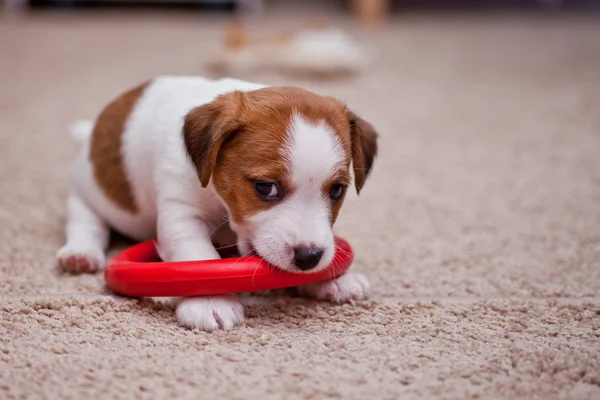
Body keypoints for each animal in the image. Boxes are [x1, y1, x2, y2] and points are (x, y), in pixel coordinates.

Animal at [58, 75, 378, 332]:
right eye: (265, 187)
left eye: (336, 190)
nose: (309, 257)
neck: (221, 203)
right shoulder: (182, 215)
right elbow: (197, 256)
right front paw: (209, 301)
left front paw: (333, 279)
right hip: (86, 193)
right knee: (86, 222)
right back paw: (80, 253)